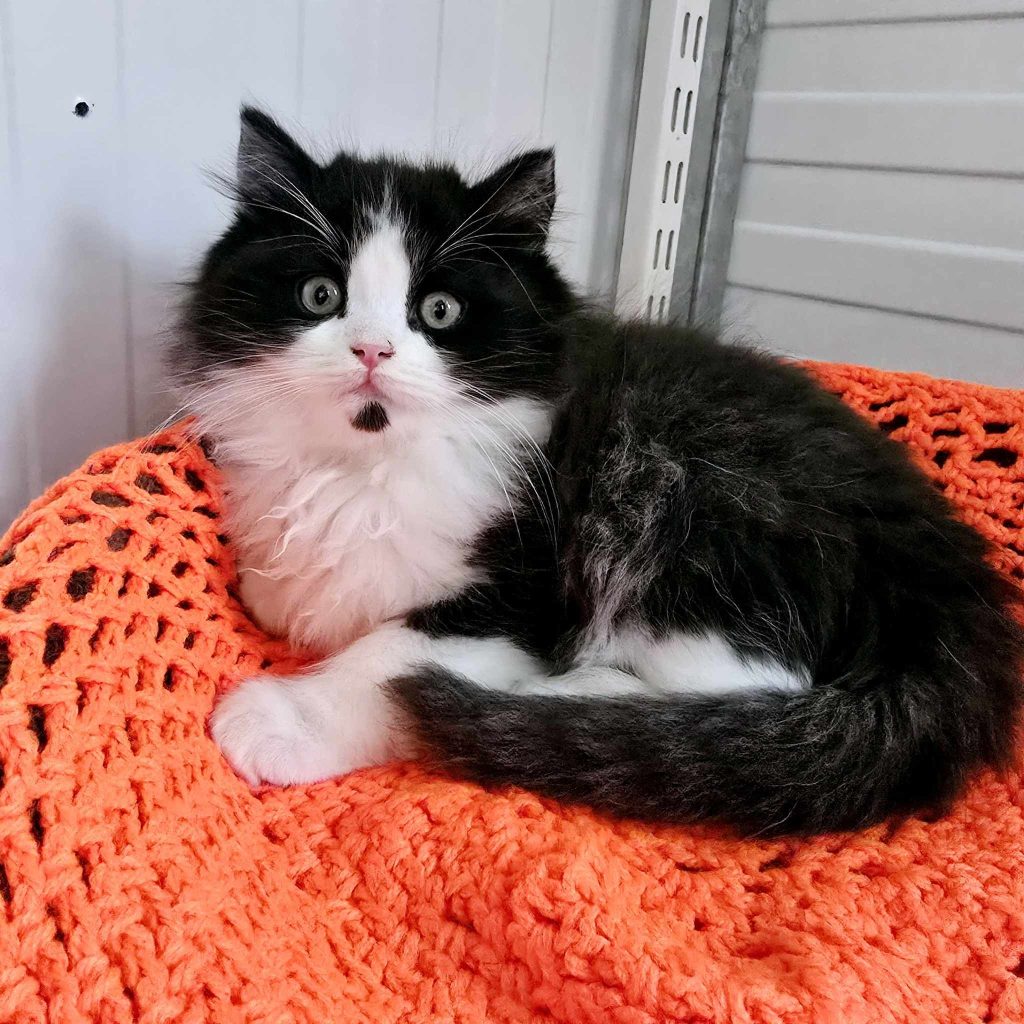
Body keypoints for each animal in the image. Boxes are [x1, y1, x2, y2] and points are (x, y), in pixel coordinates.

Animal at [176, 107, 1023, 836]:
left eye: (439, 312)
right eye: (321, 295)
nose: (371, 351)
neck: (366, 468)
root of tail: (936, 562)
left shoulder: (520, 595)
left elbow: (384, 653)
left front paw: (284, 718)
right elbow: (280, 594)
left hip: (689, 503)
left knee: (762, 683)